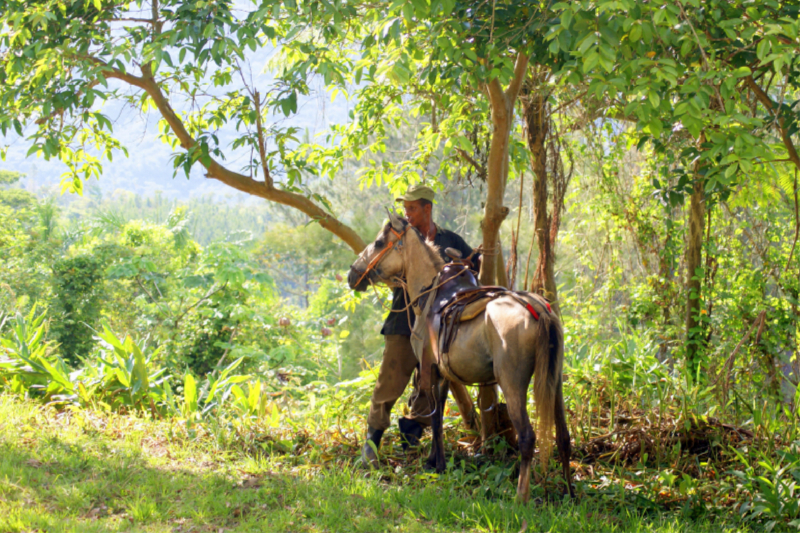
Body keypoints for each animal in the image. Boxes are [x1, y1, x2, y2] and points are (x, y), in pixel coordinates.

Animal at [346, 210, 572, 500]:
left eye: (378, 242)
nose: (353, 274)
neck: (430, 293)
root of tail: (540, 310)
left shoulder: (430, 369)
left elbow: (434, 416)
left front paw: (437, 464)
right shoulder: (442, 374)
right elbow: (439, 415)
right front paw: (434, 461)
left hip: (512, 384)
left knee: (527, 437)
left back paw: (520, 497)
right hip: (554, 381)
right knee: (563, 436)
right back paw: (570, 492)